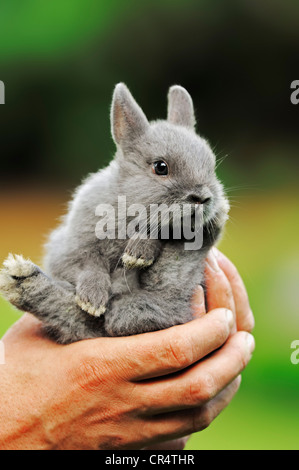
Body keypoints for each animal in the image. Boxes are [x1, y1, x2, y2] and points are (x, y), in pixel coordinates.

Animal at [0, 83, 230, 346]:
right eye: (161, 167)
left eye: (211, 166)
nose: (203, 197)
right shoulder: (71, 248)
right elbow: (87, 264)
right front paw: (92, 299)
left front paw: (137, 254)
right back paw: (21, 279)